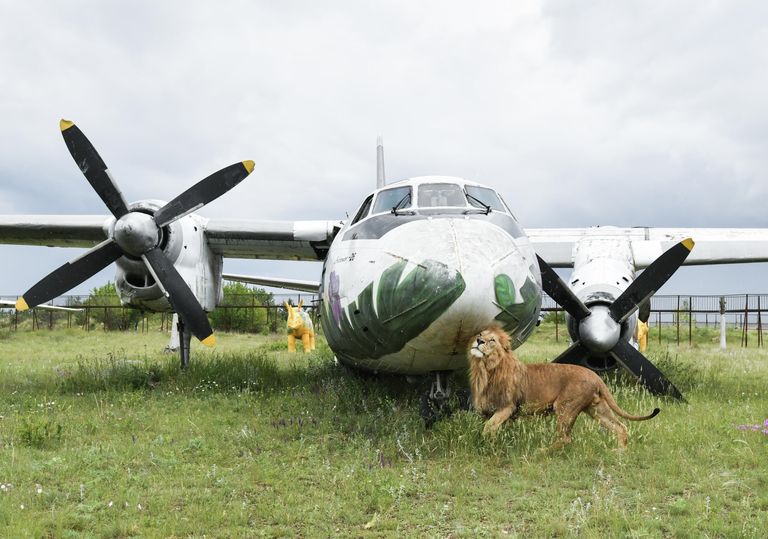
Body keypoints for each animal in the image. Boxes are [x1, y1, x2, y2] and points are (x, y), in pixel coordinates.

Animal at [468, 327, 659, 449]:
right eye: (480, 334)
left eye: (492, 340)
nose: (478, 340)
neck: (485, 369)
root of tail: (595, 376)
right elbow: (493, 429)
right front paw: (496, 443)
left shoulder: (507, 407)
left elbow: (488, 428)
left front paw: (489, 445)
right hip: (597, 408)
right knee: (620, 427)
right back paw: (619, 452)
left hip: (564, 406)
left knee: (565, 438)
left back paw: (541, 452)